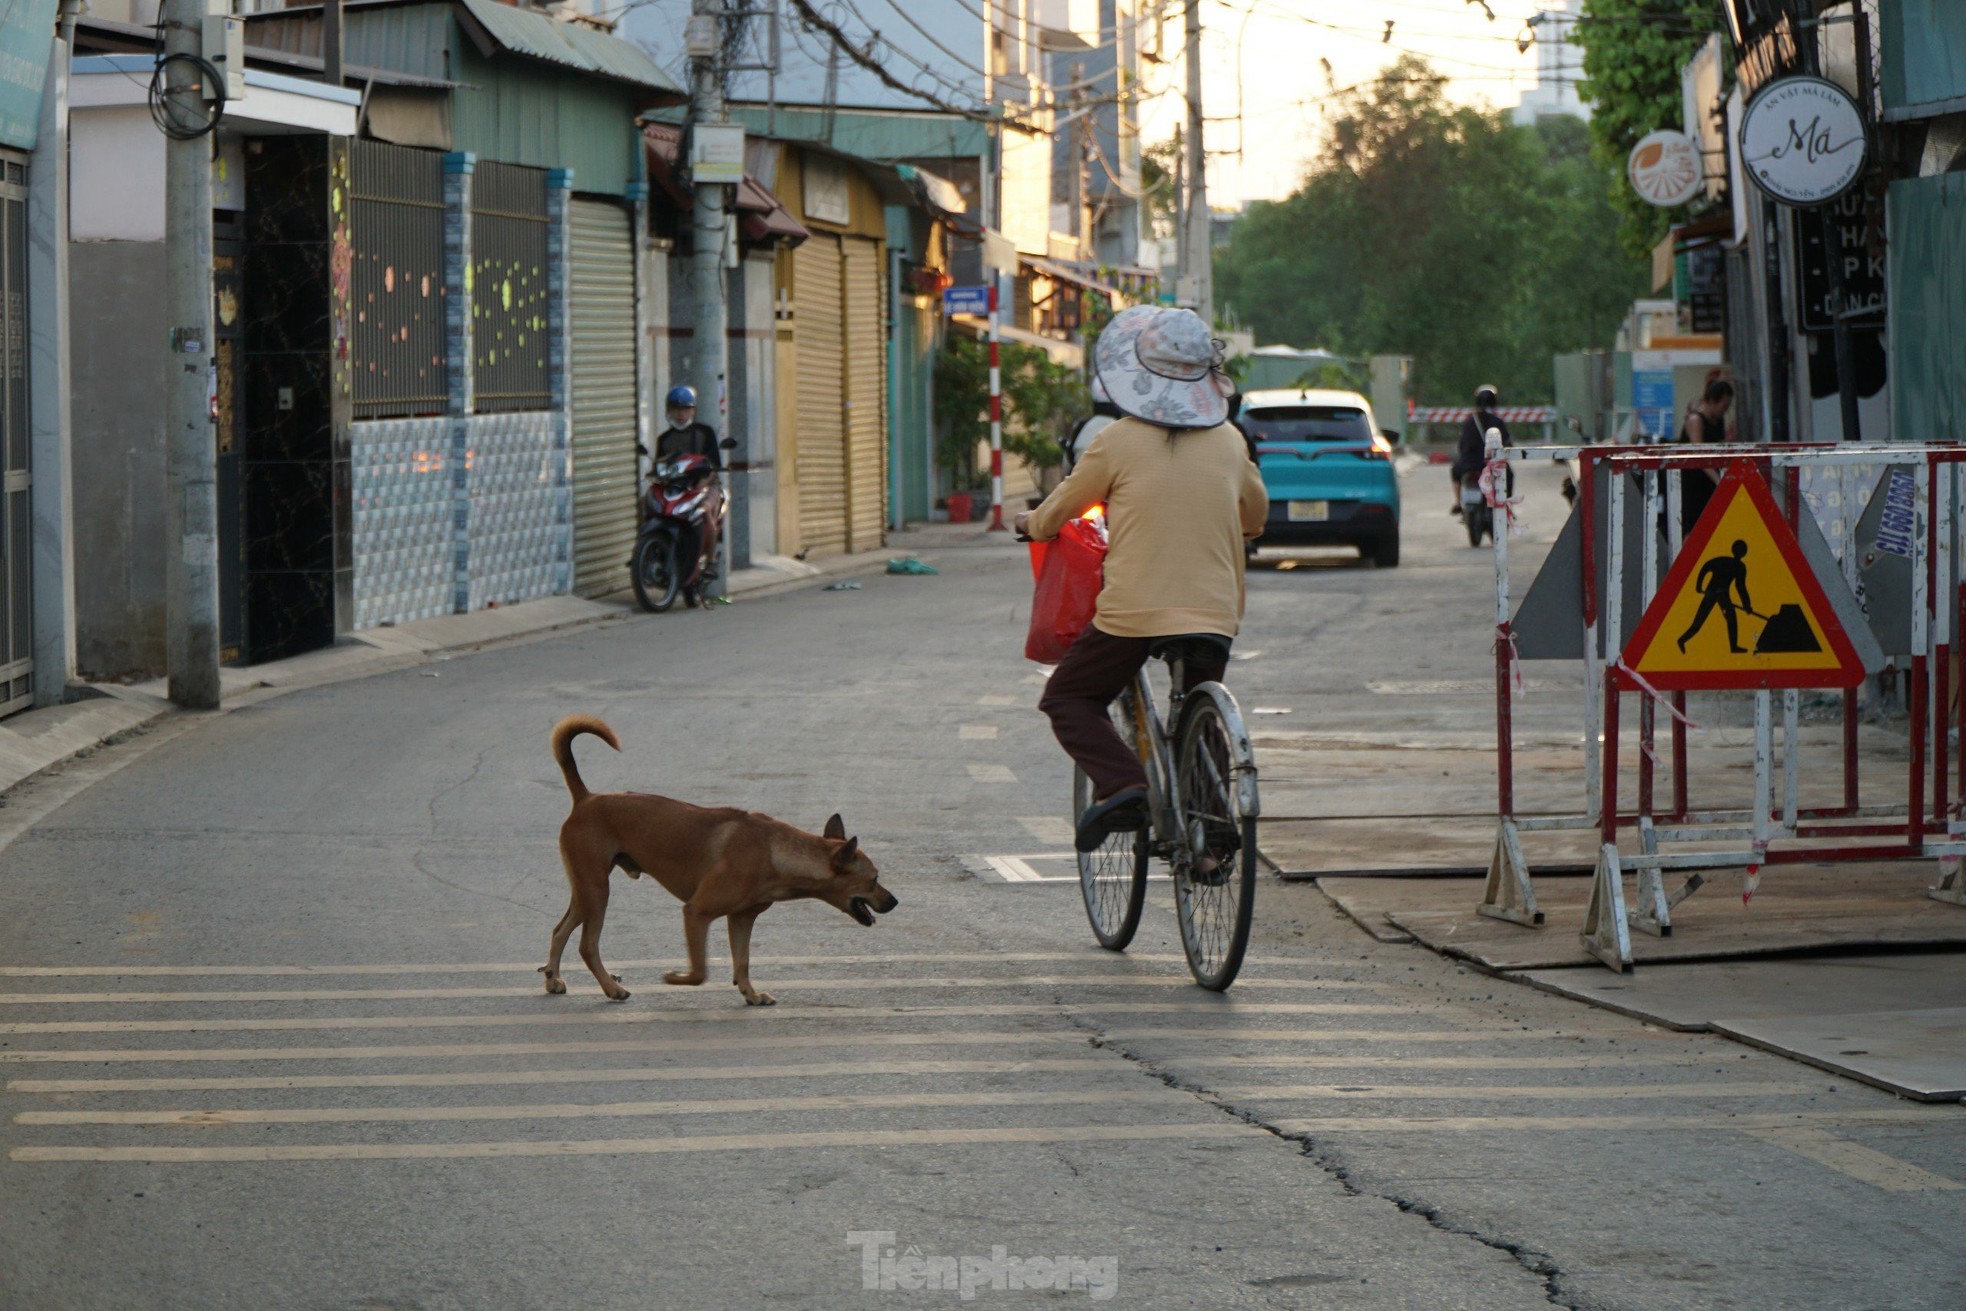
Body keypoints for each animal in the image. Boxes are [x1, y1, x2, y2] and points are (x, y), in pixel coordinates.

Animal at [542, 719, 900, 1006]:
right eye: (873, 879)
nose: (895, 901)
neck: (775, 851)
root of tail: (586, 798)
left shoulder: (741, 919)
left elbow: (742, 962)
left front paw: (750, 993)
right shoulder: (696, 913)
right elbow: (700, 970)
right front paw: (676, 978)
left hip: (586, 890)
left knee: (560, 930)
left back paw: (553, 977)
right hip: (596, 890)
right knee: (587, 945)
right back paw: (610, 988)